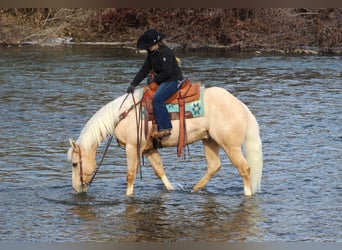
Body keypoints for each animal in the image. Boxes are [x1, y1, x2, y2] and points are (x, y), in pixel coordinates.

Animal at [68, 87, 264, 196]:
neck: (123, 115)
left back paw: (247, 195)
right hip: (210, 140)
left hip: (231, 146)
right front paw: (171, 190)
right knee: (214, 166)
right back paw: (195, 188)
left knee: (244, 168)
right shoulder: (148, 149)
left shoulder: (132, 148)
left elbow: (130, 175)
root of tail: (241, 105)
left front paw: (128, 196)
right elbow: (159, 170)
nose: (77, 189)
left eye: (75, 164)